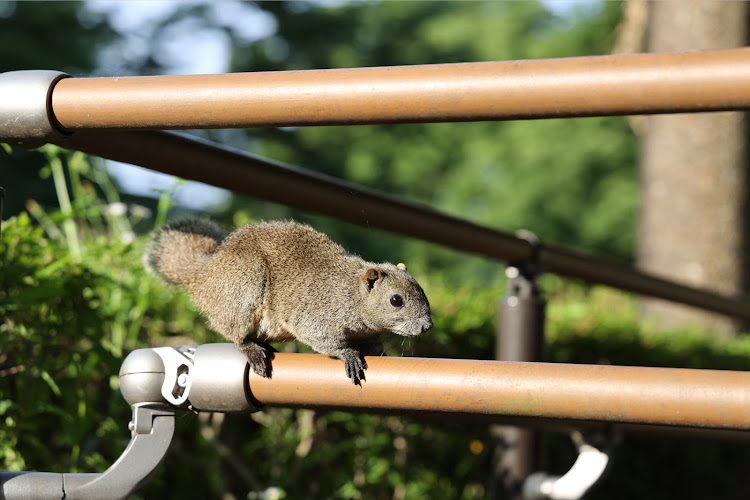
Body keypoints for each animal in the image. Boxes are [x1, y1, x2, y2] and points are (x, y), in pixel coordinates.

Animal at [145, 217, 434, 384]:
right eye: (396, 300)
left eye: (422, 291)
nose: (427, 326)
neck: (350, 295)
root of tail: (204, 277)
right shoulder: (315, 314)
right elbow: (321, 338)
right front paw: (347, 354)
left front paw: (379, 351)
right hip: (243, 288)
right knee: (237, 335)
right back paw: (252, 349)